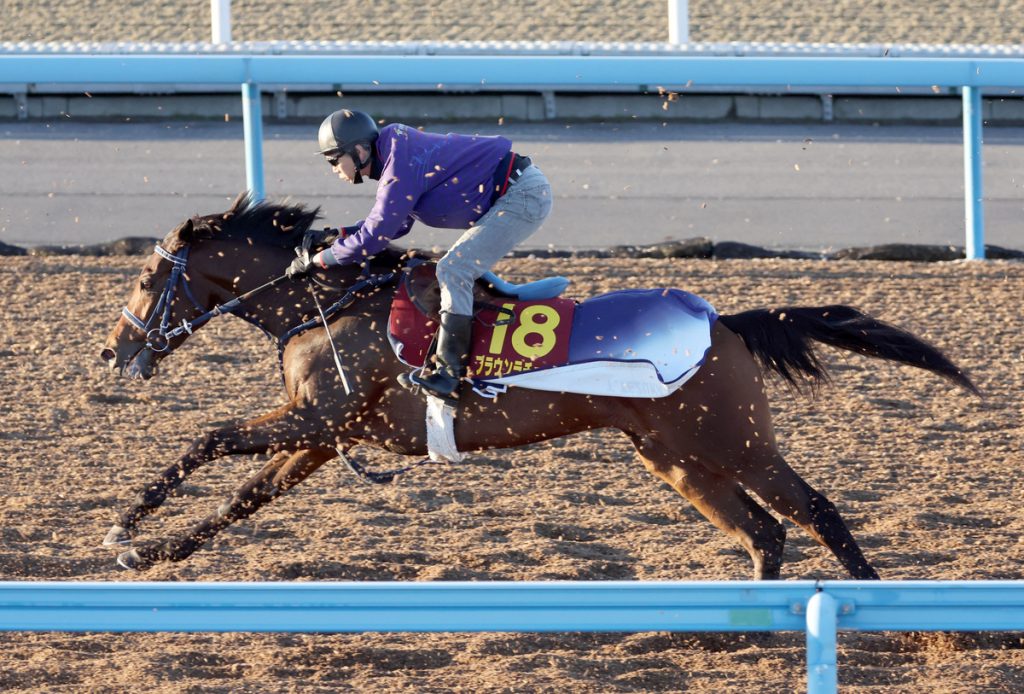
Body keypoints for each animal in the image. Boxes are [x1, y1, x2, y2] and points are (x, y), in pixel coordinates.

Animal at [99, 195, 978, 581]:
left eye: (147, 277)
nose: (112, 351)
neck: (332, 301)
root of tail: (723, 318)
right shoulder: (323, 431)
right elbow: (244, 494)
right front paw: (151, 546)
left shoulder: (316, 416)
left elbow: (207, 440)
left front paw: (125, 525)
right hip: (675, 455)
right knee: (763, 533)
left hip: (733, 440)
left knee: (817, 512)